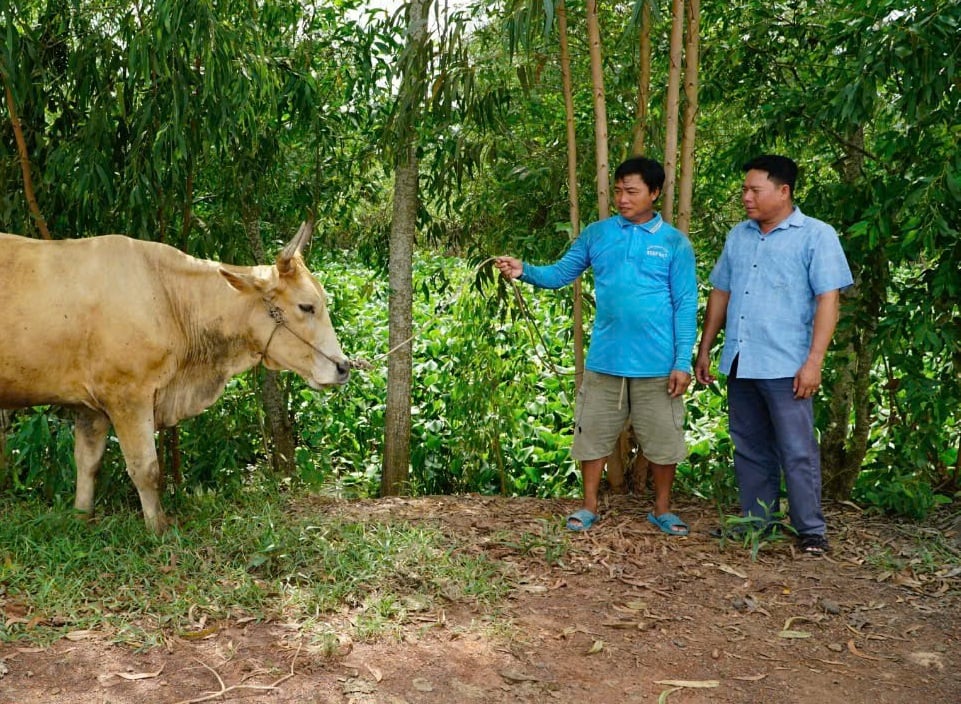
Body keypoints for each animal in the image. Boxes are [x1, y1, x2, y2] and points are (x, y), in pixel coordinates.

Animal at [0, 223, 349, 532]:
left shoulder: (90, 407)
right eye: (307, 306)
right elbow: (146, 469)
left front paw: (82, 519)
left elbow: (87, 464)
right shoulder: (128, 396)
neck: (169, 298)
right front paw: (158, 528)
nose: (343, 366)